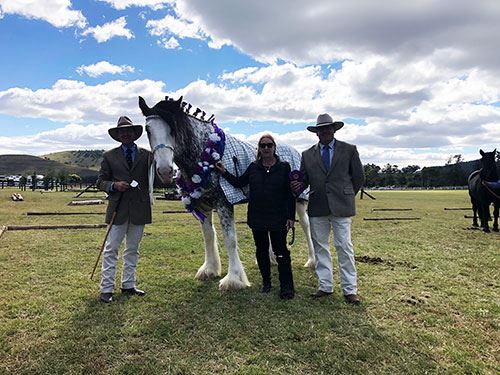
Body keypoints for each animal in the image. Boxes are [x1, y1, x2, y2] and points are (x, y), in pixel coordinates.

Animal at [139, 94, 314, 290]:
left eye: (173, 128)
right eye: (147, 129)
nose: (165, 171)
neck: (205, 154)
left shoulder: (224, 204)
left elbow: (230, 239)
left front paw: (233, 279)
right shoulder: (203, 205)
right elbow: (208, 236)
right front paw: (209, 269)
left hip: (299, 201)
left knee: (306, 225)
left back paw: (311, 261)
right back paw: (272, 259)